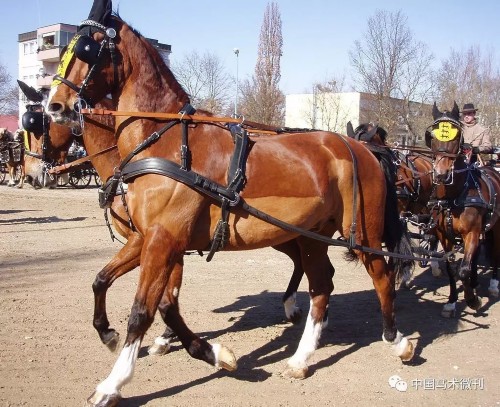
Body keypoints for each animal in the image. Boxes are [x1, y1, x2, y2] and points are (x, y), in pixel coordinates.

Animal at [47, 3, 414, 404]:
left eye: (86, 48)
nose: (54, 105)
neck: (166, 141)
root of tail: (363, 147)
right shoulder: (148, 239)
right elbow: (123, 288)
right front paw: (211, 353)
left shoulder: (163, 240)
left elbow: (143, 310)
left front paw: (113, 382)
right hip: (311, 237)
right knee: (321, 285)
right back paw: (300, 359)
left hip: (362, 232)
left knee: (380, 276)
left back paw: (397, 341)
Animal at [426, 103, 500, 318]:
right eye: (432, 135)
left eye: (456, 135)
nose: (441, 174)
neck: (455, 195)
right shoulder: (445, 235)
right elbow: (452, 269)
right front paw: (451, 302)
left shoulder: (472, 233)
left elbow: (464, 270)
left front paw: (472, 300)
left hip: (496, 227)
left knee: (495, 253)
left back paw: (493, 284)